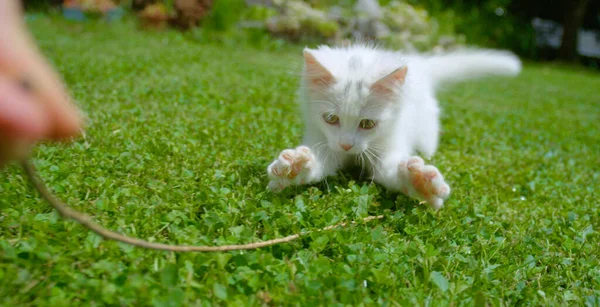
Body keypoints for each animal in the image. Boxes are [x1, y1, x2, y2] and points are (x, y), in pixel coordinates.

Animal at [268, 44, 520, 209]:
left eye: (367, 124)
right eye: (331, 118)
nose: (346, 145)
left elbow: (392, 171)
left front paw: (420, 183)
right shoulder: (322, 138)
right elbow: (319, 163)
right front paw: (295, 167)